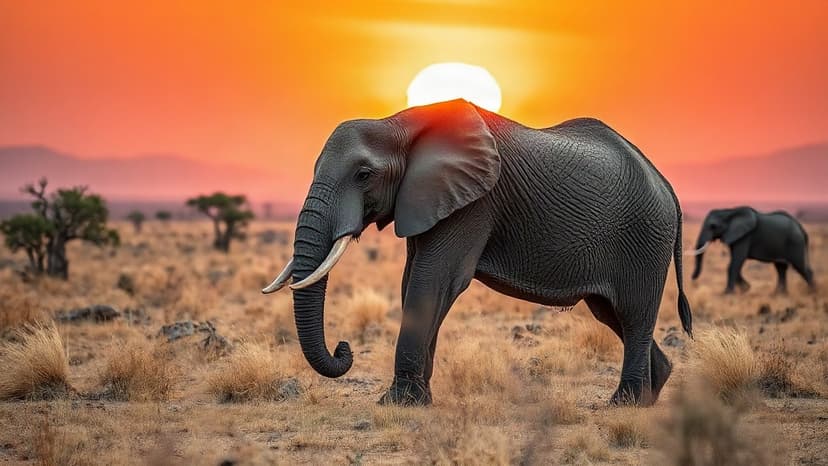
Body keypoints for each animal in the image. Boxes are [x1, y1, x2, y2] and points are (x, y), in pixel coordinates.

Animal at [262, 99, 692, 407]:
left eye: (364, 175)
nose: (344, 348)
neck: (399, 122)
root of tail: (667, 185)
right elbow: (414, 281)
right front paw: (419, 400)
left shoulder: (475, 204)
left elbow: (433, 281)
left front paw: (398, 404)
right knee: (612, 314)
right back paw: (652, 393)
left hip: (645, 237)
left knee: (634, 314)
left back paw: (624, 404)